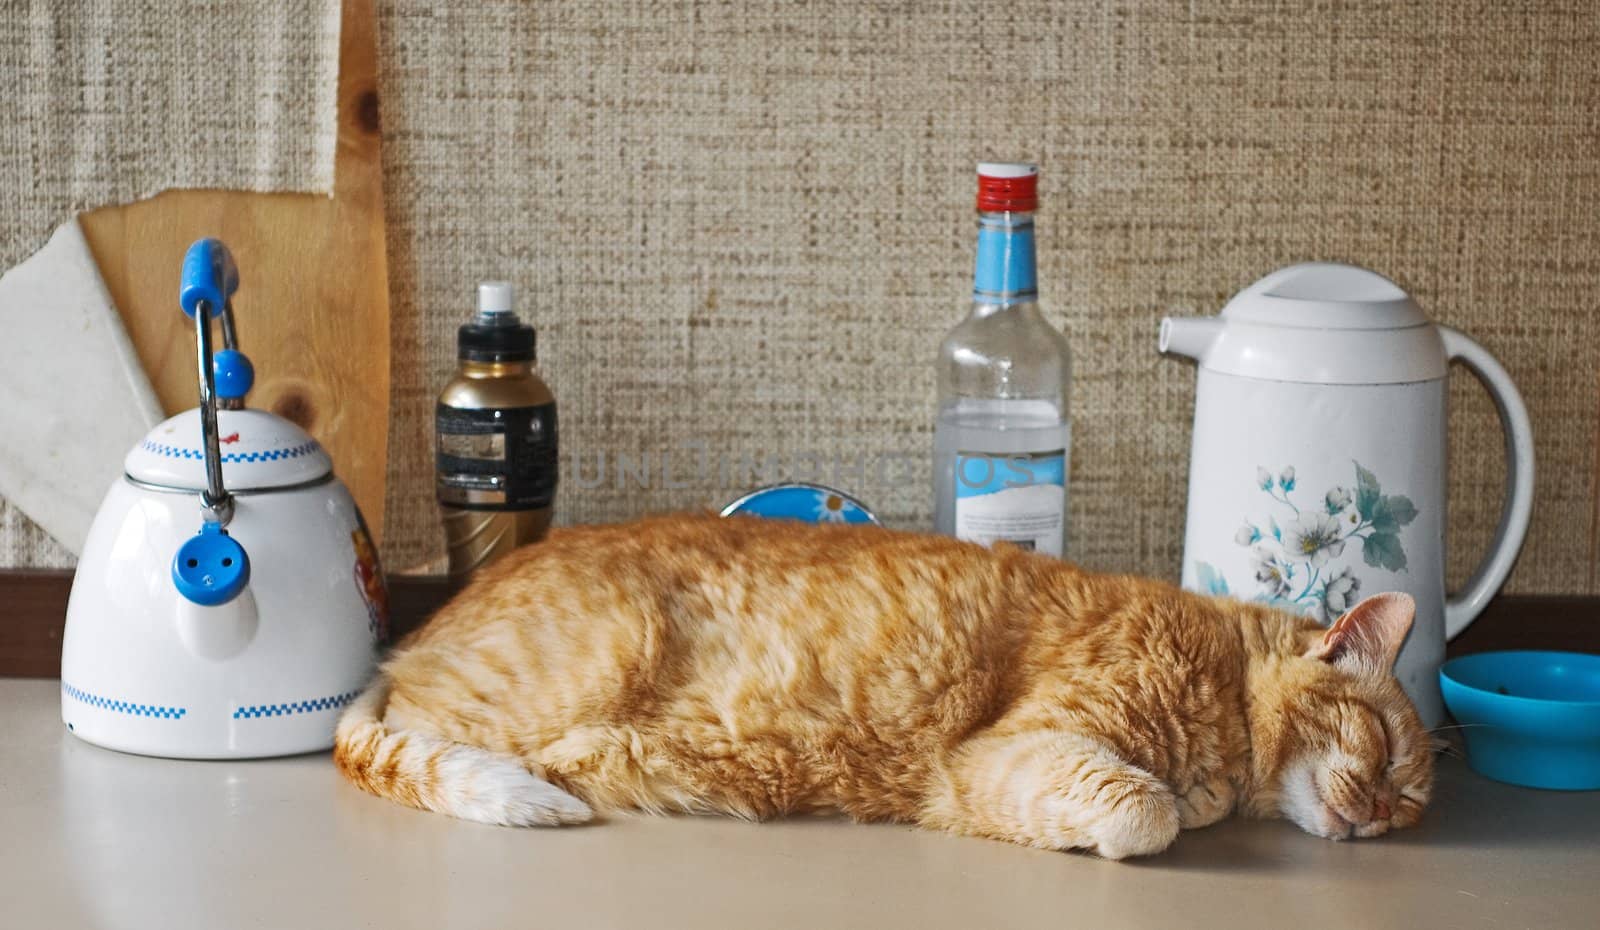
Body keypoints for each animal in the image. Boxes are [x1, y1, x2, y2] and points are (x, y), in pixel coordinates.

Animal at [331, 515, 1433, 857]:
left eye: (1414, 802)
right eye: (1381, 752)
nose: (1383, 815)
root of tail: (415, 630)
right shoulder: (1003, 753)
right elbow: (1143, 809)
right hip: (579, 663)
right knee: (403, 742)